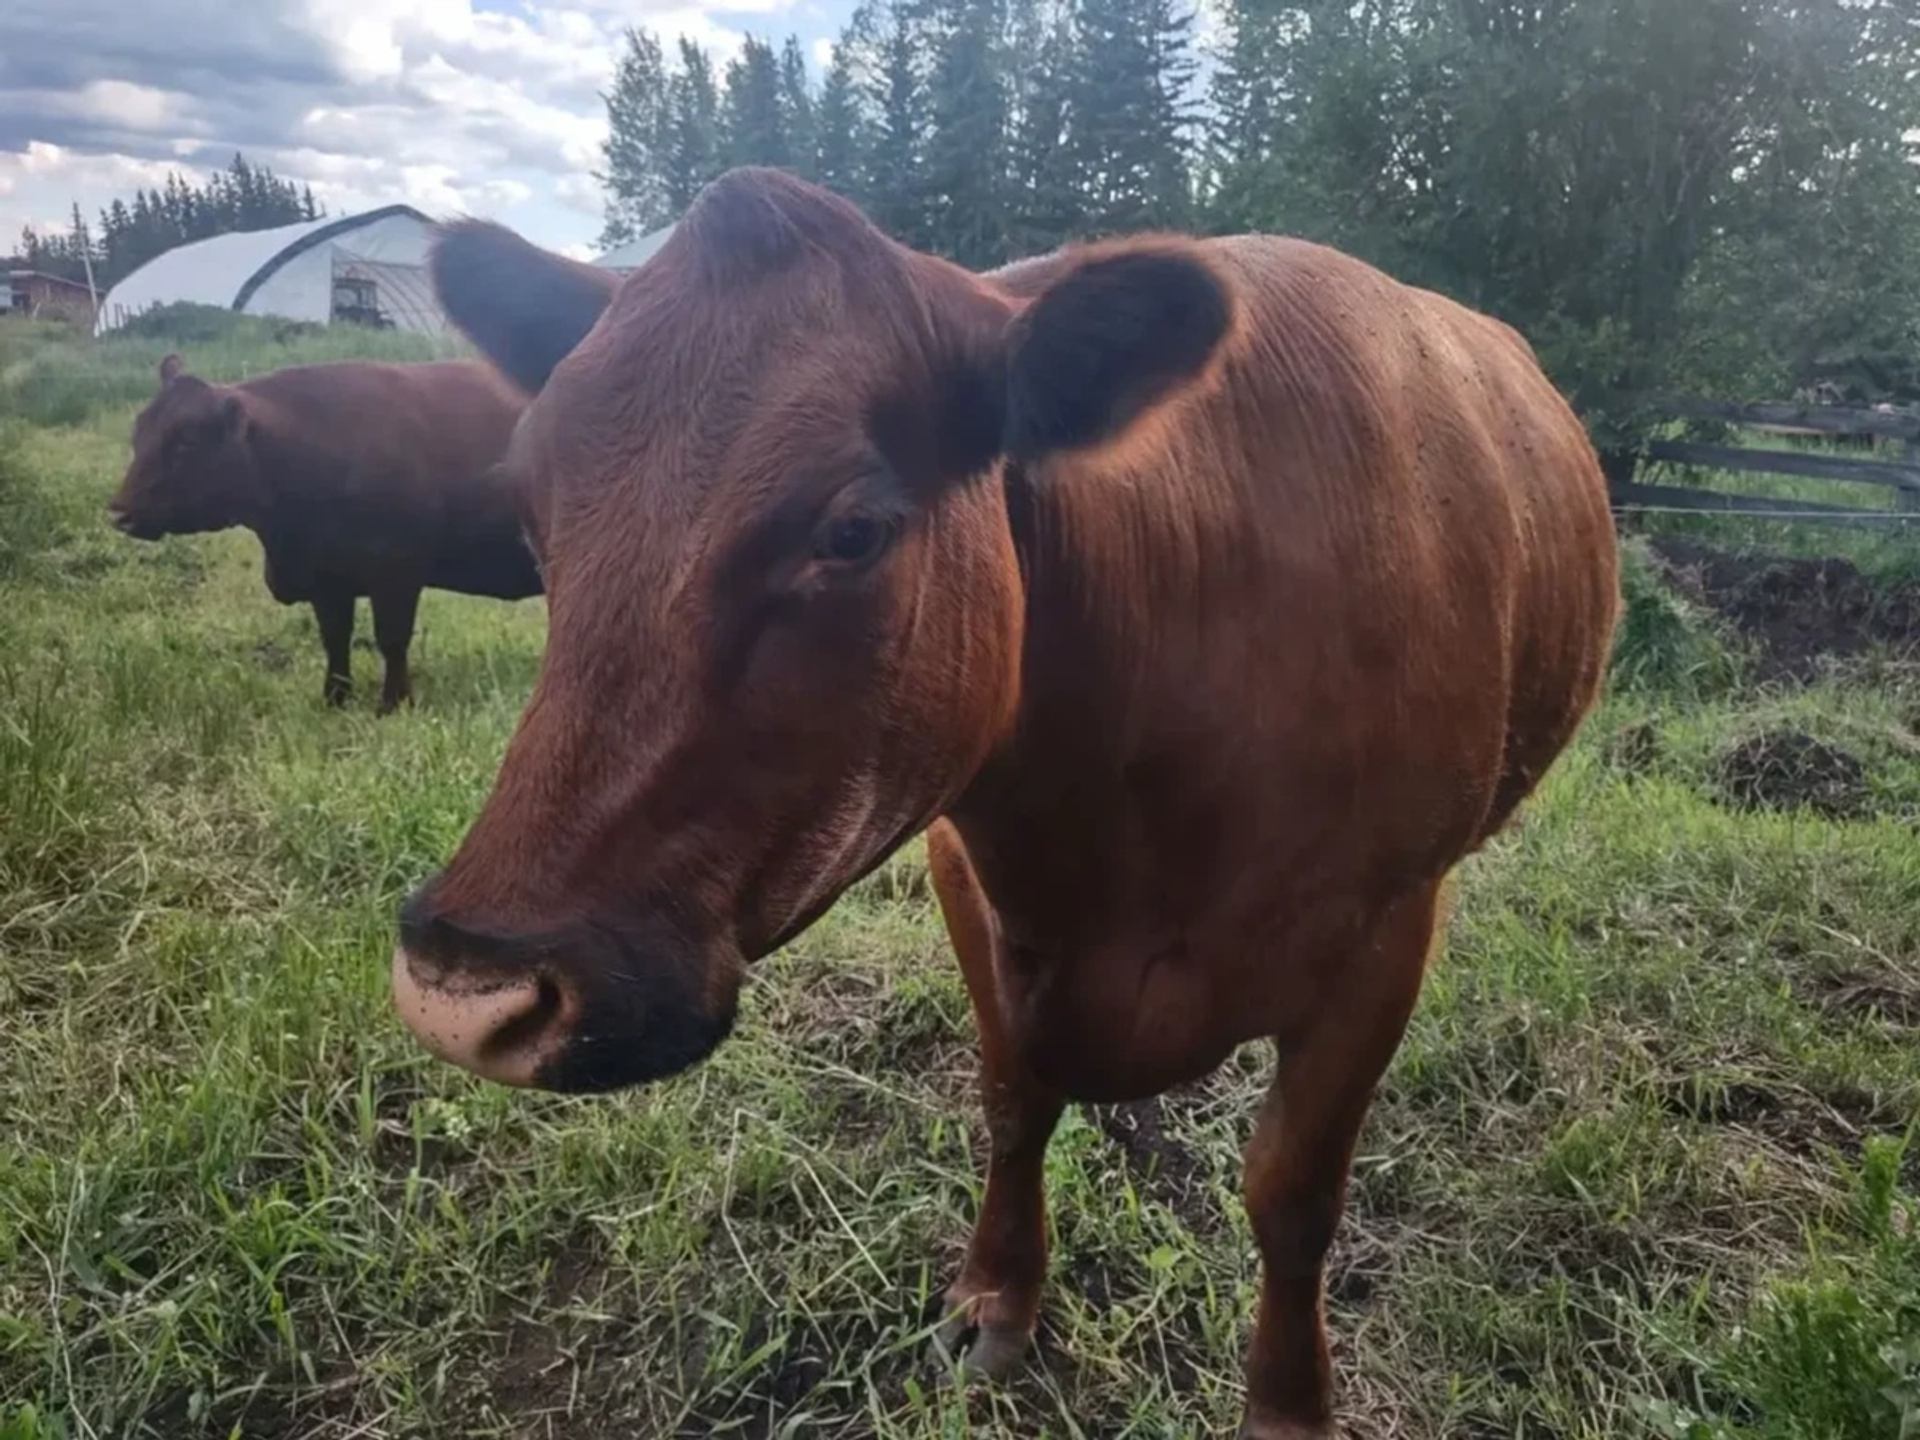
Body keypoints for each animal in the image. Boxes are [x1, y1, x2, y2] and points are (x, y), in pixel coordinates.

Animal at [108, 355, 539, 712]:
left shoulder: (396, 573)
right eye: (138, 434)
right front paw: (335, 698)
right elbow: (335, 637)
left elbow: (392, 639)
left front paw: (393, 703)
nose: (118, 512)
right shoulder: (327, 583)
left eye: (186, 442)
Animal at [390, 169, 1619, 1436]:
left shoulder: (1388, 931)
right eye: (534, 514)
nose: (463, 987)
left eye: (853, 530)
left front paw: (1287, 1408)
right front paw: (998, 1300)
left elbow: (1291, 1194)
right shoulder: (968, 874)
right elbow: (1014, 1098)